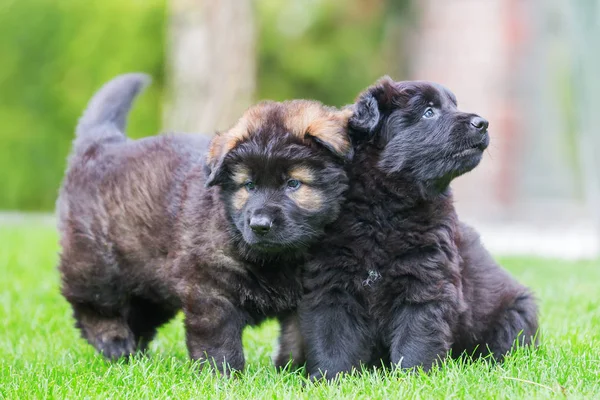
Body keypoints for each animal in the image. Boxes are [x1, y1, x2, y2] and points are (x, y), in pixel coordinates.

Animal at [56, 73, 352, 374]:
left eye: (293, 184)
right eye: (249, 185)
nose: (259, 225)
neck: (277, 259)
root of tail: (101, 144)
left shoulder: (304, 294)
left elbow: (298, 336)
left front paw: (293, 371)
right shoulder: (209, 288)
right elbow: (219, 340)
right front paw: (223, 375)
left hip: (150, 279)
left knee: (138, 315)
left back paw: (136, 357)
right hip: (96, 261)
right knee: (91, 304)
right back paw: (114, 342)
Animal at [276, 77, 540, 378]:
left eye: (453, 106)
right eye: (428, 112)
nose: (482, 123)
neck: (385, 210)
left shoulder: (426, 280)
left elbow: (416, 339)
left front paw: (413, 378)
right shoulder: (331, 283)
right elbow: (332, 340)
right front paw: (330, 379)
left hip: (516, 311)